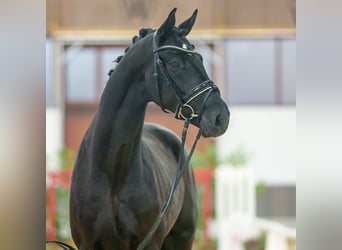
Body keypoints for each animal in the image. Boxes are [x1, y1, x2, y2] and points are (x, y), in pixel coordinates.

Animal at [69, 8, 230, 250]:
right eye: (175, 63)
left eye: (201, 58)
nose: (221, 117)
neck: (111, 170)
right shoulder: (87, 244)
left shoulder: (150, 242)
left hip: (182, 239)